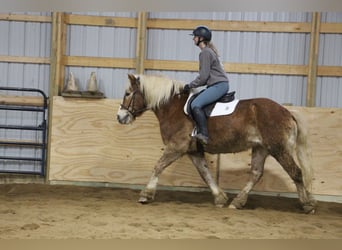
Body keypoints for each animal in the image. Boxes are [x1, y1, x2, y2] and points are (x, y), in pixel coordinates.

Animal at [116, 73, 316, 214]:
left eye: (127, 93)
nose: (120, 117)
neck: (173, 109)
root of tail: (287, 112)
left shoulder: (176, 147)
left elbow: (158, 166)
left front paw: (146, 195)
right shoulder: (193, 151)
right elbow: (205, 173)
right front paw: (220, 198)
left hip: (278, 149)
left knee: (296, 173)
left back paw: (307, 205)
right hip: (260, 148)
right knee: (256, 174)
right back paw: (237, 202)